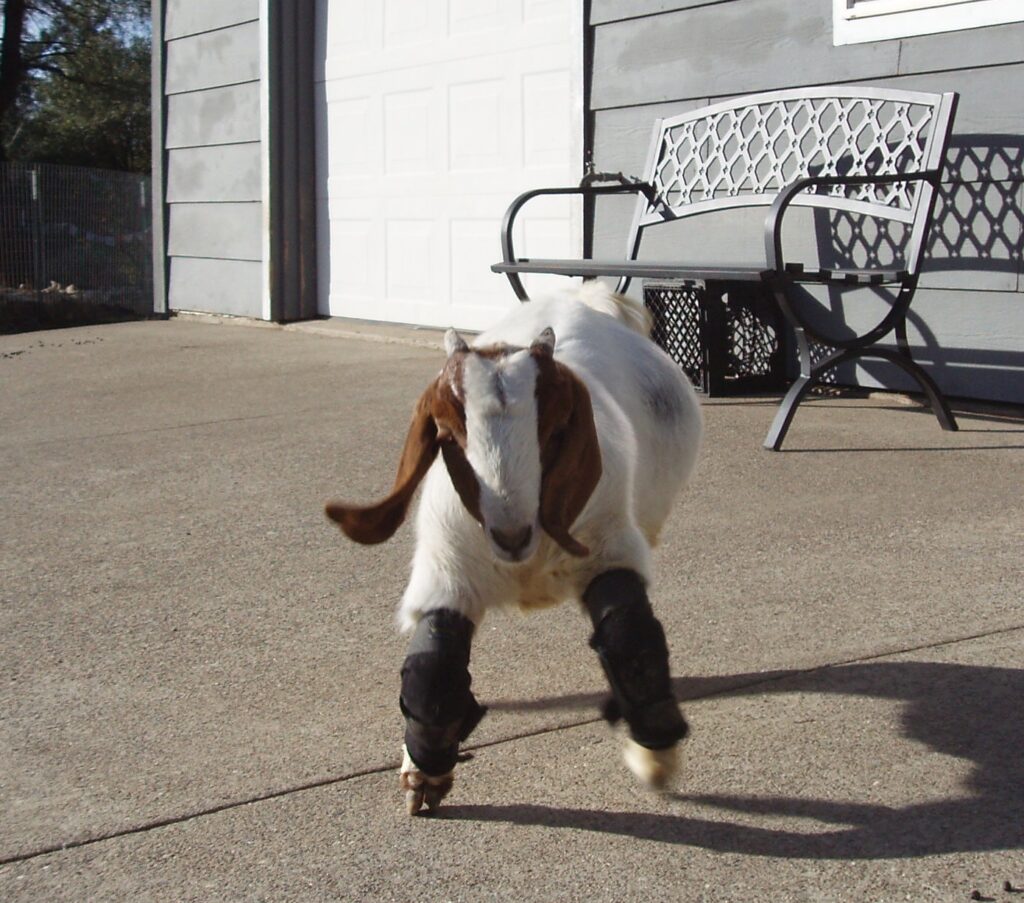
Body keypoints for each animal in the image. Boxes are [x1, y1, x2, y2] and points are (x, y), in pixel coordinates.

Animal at [325, 282, 703, 815]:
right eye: (447, 431)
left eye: (556, 428)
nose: (510, 534)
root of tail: (584, 297)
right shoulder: (449, 569)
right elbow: (433, 667)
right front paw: (424, 774)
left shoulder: (608, 546)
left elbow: (628, 636)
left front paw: (656, 758)